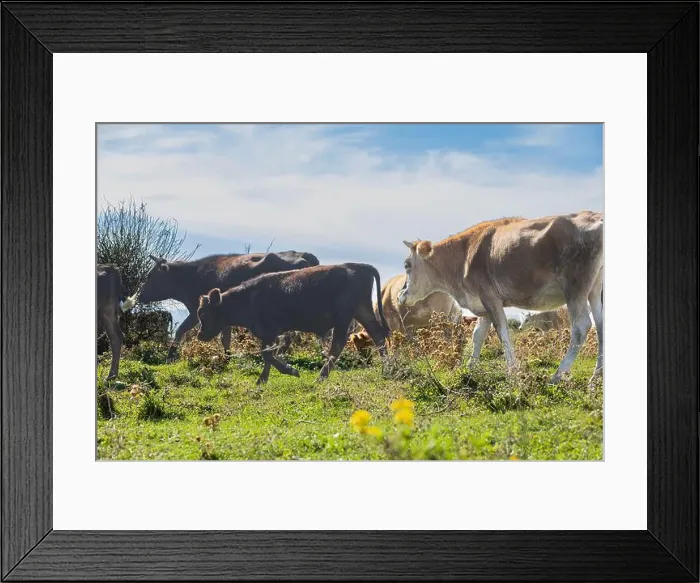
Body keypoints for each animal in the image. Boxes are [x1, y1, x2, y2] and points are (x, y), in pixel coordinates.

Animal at [134, 251, 319, 361]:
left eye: (151, 276)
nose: (140, 295)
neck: (191, 276)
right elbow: (226, 338)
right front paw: (227, 356)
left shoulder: (195, 311)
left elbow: (181, 330)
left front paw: (171, 355)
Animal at [196, 263, 390, 384]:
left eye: (203, 313)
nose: (200, 335)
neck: (250, 297)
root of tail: (360, 266)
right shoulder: (271, 334)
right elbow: (269, 355)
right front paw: (262, 380)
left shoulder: (270, 331)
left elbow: (267, 354)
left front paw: (291, 371)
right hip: (362, 312)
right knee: (378, 335)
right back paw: (388, 369)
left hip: (344, 318)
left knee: (338, 345)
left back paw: (320, 377)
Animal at [398, 211, 604, 385]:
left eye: (407, 265)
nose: (401, 294)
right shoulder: (482, 304)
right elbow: (478, 335)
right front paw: (469, 370)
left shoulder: (490, 298)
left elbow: (502, 332)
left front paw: (513, 372)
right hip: (595, 291)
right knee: (600, 326)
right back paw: (596, 378)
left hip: (575, 286)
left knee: (581, 327)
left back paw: (557, 376)